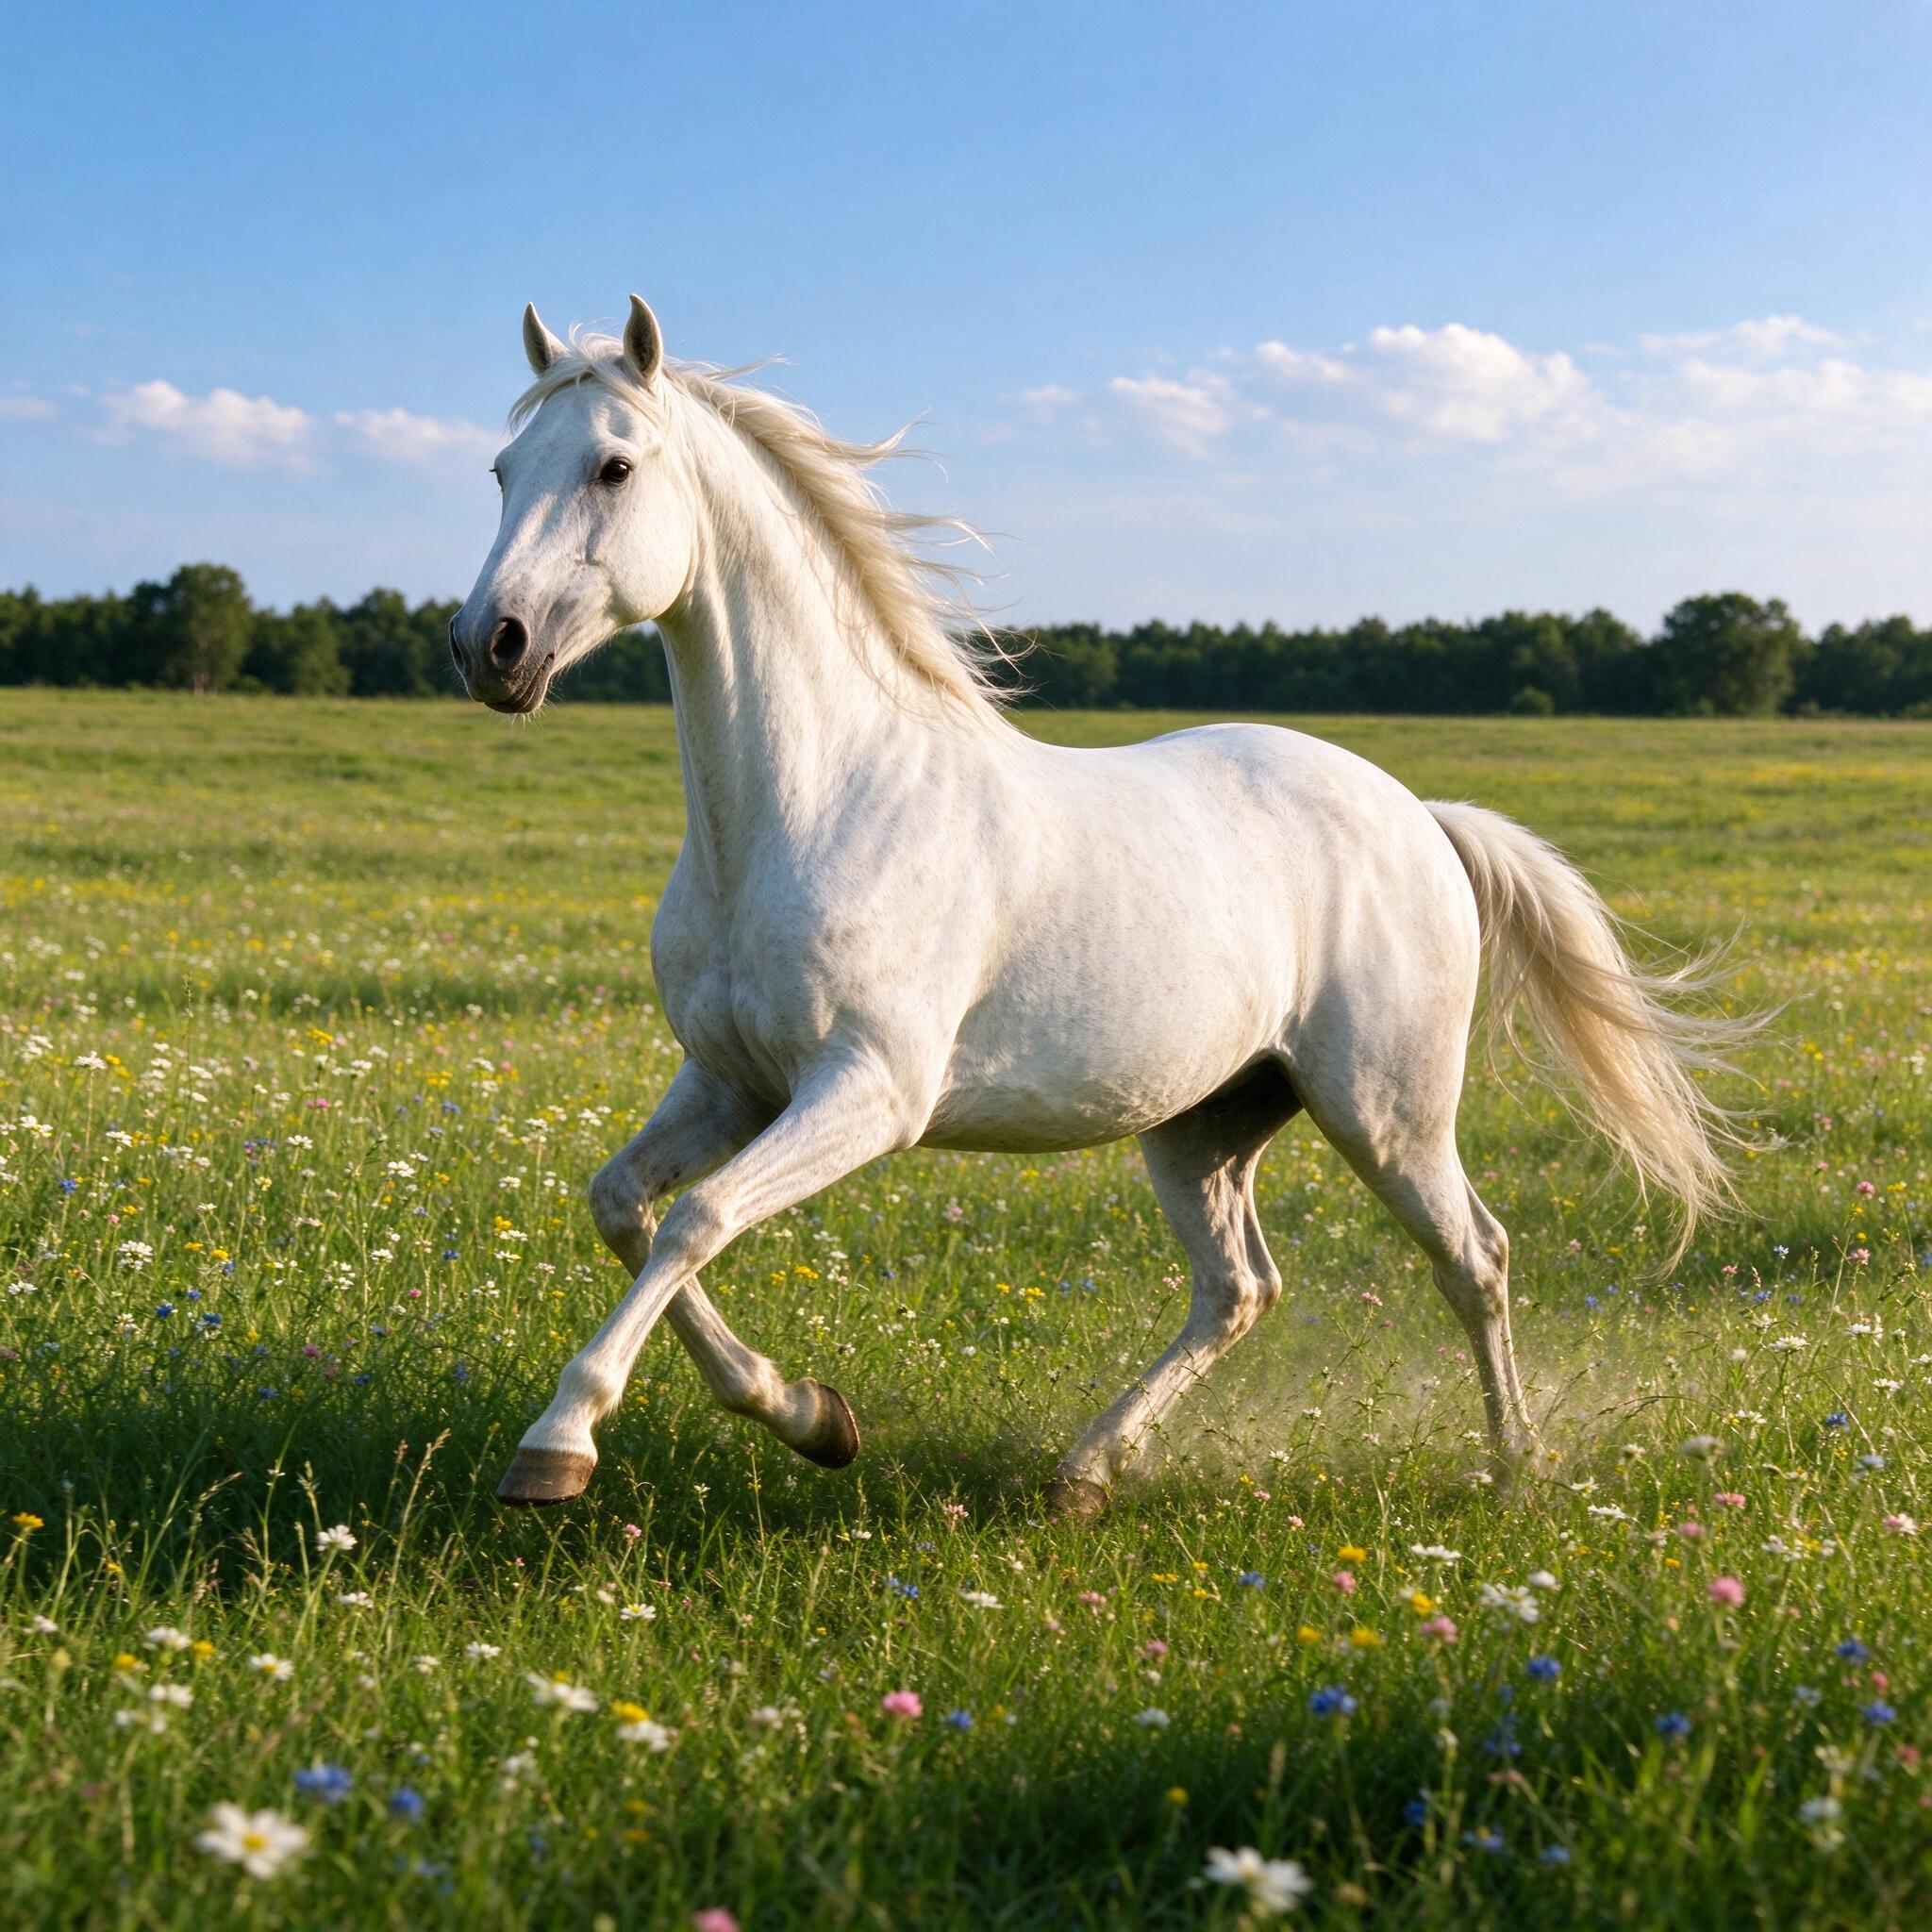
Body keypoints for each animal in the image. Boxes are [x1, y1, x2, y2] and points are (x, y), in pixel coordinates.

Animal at [450, 294, 1750, 1516]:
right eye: (503, 471)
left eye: (614, 465)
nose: (487, 646)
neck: (810, 804)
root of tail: (1416, 815)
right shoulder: (731, 1081)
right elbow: (625, 1204)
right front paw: (810, 1414)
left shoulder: (868, 1091)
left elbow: (697, 1218)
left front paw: (561, 1443)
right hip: (1203, 1122)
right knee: (1237, 1288)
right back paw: (1085, 1469)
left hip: (1387, 1109)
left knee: (1472, 1257)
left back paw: (1510, 1465)